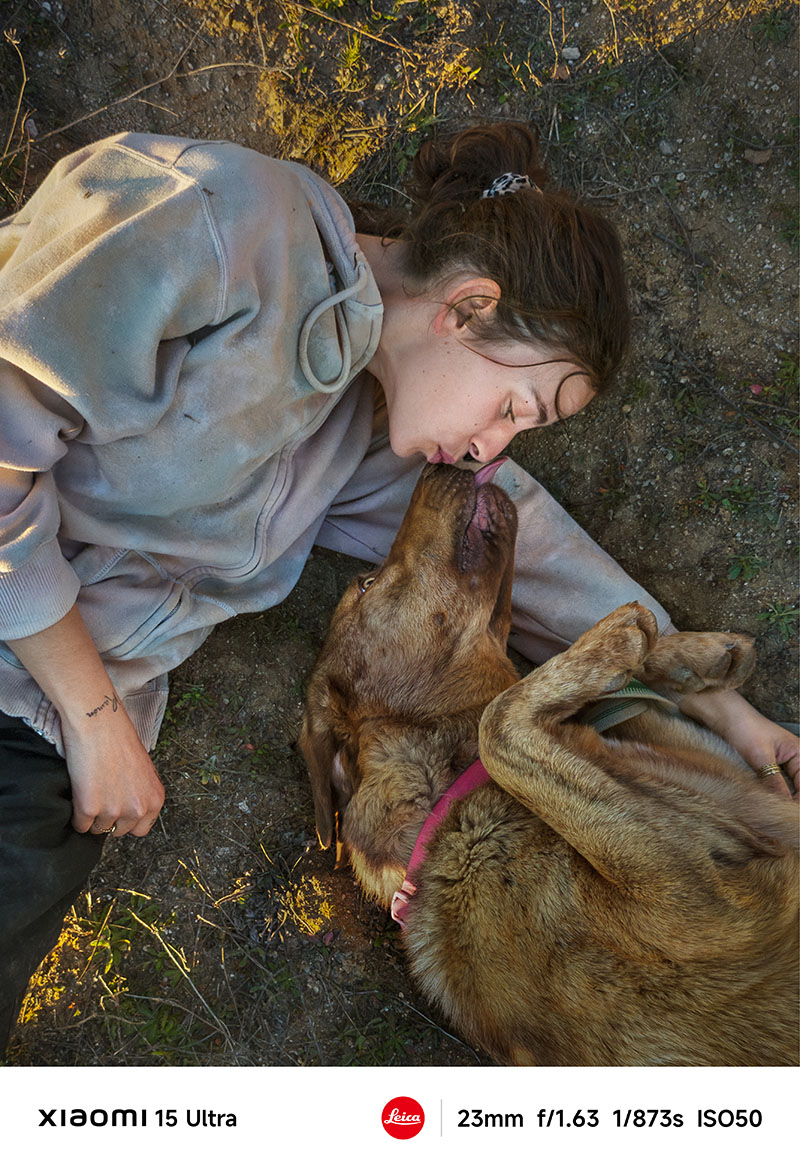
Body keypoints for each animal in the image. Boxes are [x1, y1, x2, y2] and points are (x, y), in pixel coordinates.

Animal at [301, 460, 799, 1066]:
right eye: (366, 583)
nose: (441, 462)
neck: (449, 798)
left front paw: (691, 657)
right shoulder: (712, 913)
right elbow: (500, 722)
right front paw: (604, 647)